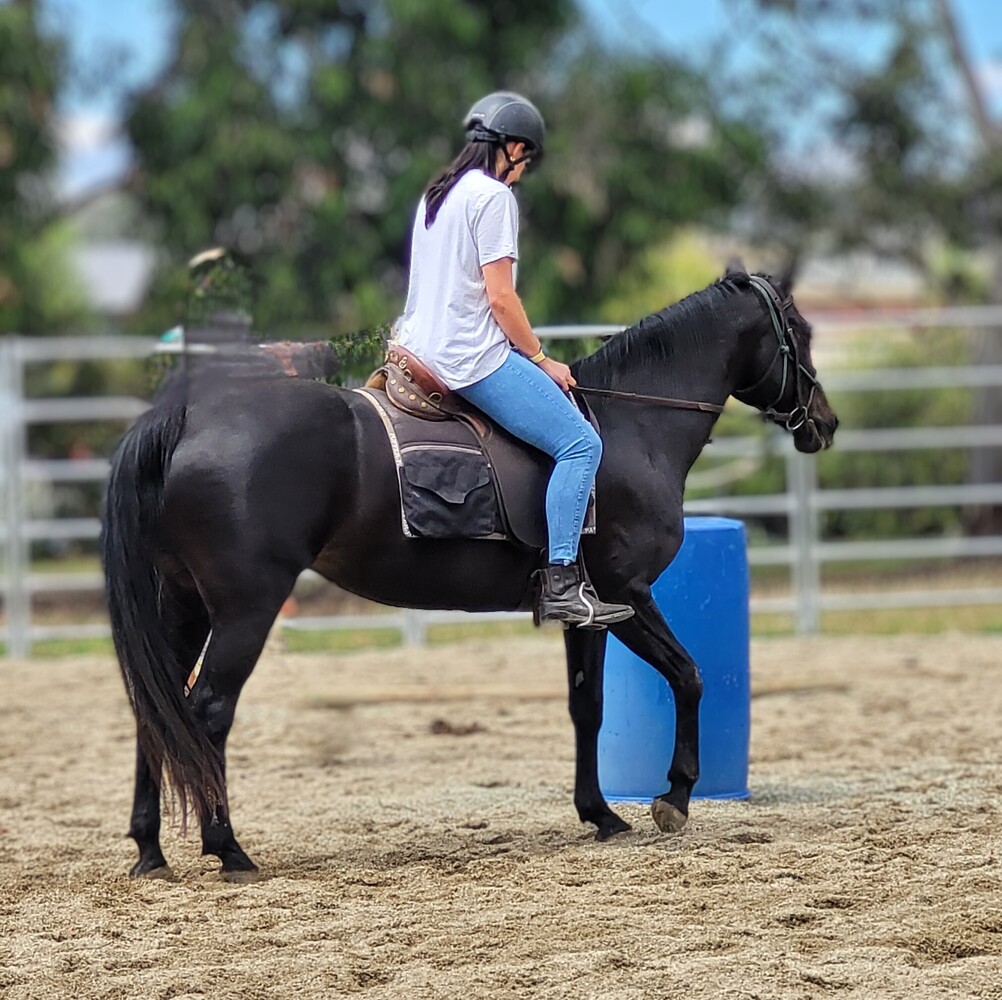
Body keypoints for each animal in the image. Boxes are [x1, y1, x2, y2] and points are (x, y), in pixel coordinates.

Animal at [102, 265, 838, 880]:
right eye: (799, 334)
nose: (825, 424)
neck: (629, 426)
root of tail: (189, 419)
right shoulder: (629, 595)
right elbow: (689, 676)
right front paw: (675, 796)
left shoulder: (590, 611)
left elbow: (588, 707)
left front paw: (600, 814)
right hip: (246, 610)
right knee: (207, 710)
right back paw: (227, 848)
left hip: (184, 606)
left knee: (156, 709)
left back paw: (150, 850)